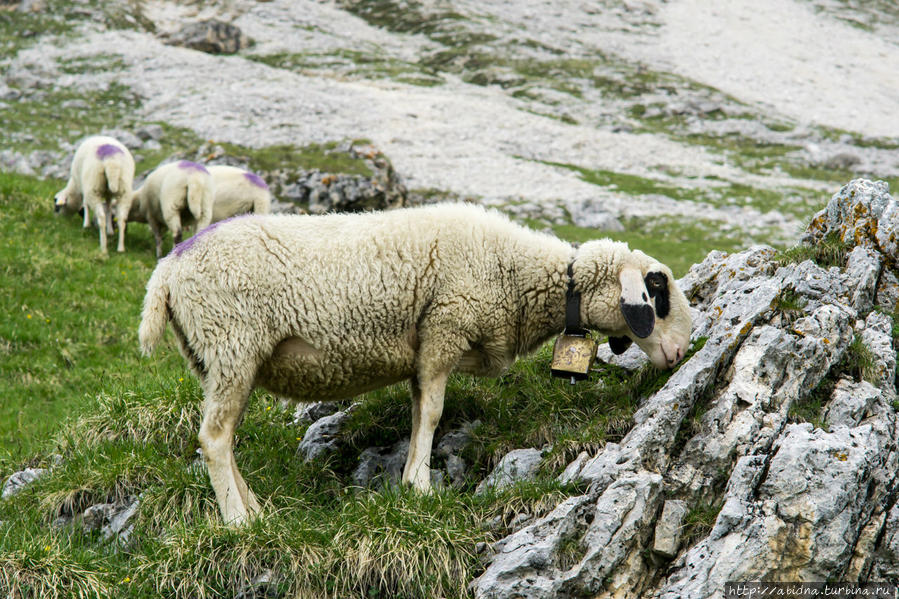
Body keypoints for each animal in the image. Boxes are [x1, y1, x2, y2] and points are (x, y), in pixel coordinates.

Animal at [141, 204, 692, 524]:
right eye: (658, 290)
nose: (681, 353)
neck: (519, 275)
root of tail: (168, 268)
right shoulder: (445, 328)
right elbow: (432, 413)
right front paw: (422, 488)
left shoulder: (423, 352)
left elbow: (417, 412)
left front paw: (409, 479)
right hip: (232, 343)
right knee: (214, 437)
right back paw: (239, 521)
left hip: (216, 358)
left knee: (223, 438)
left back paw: (254, 508)